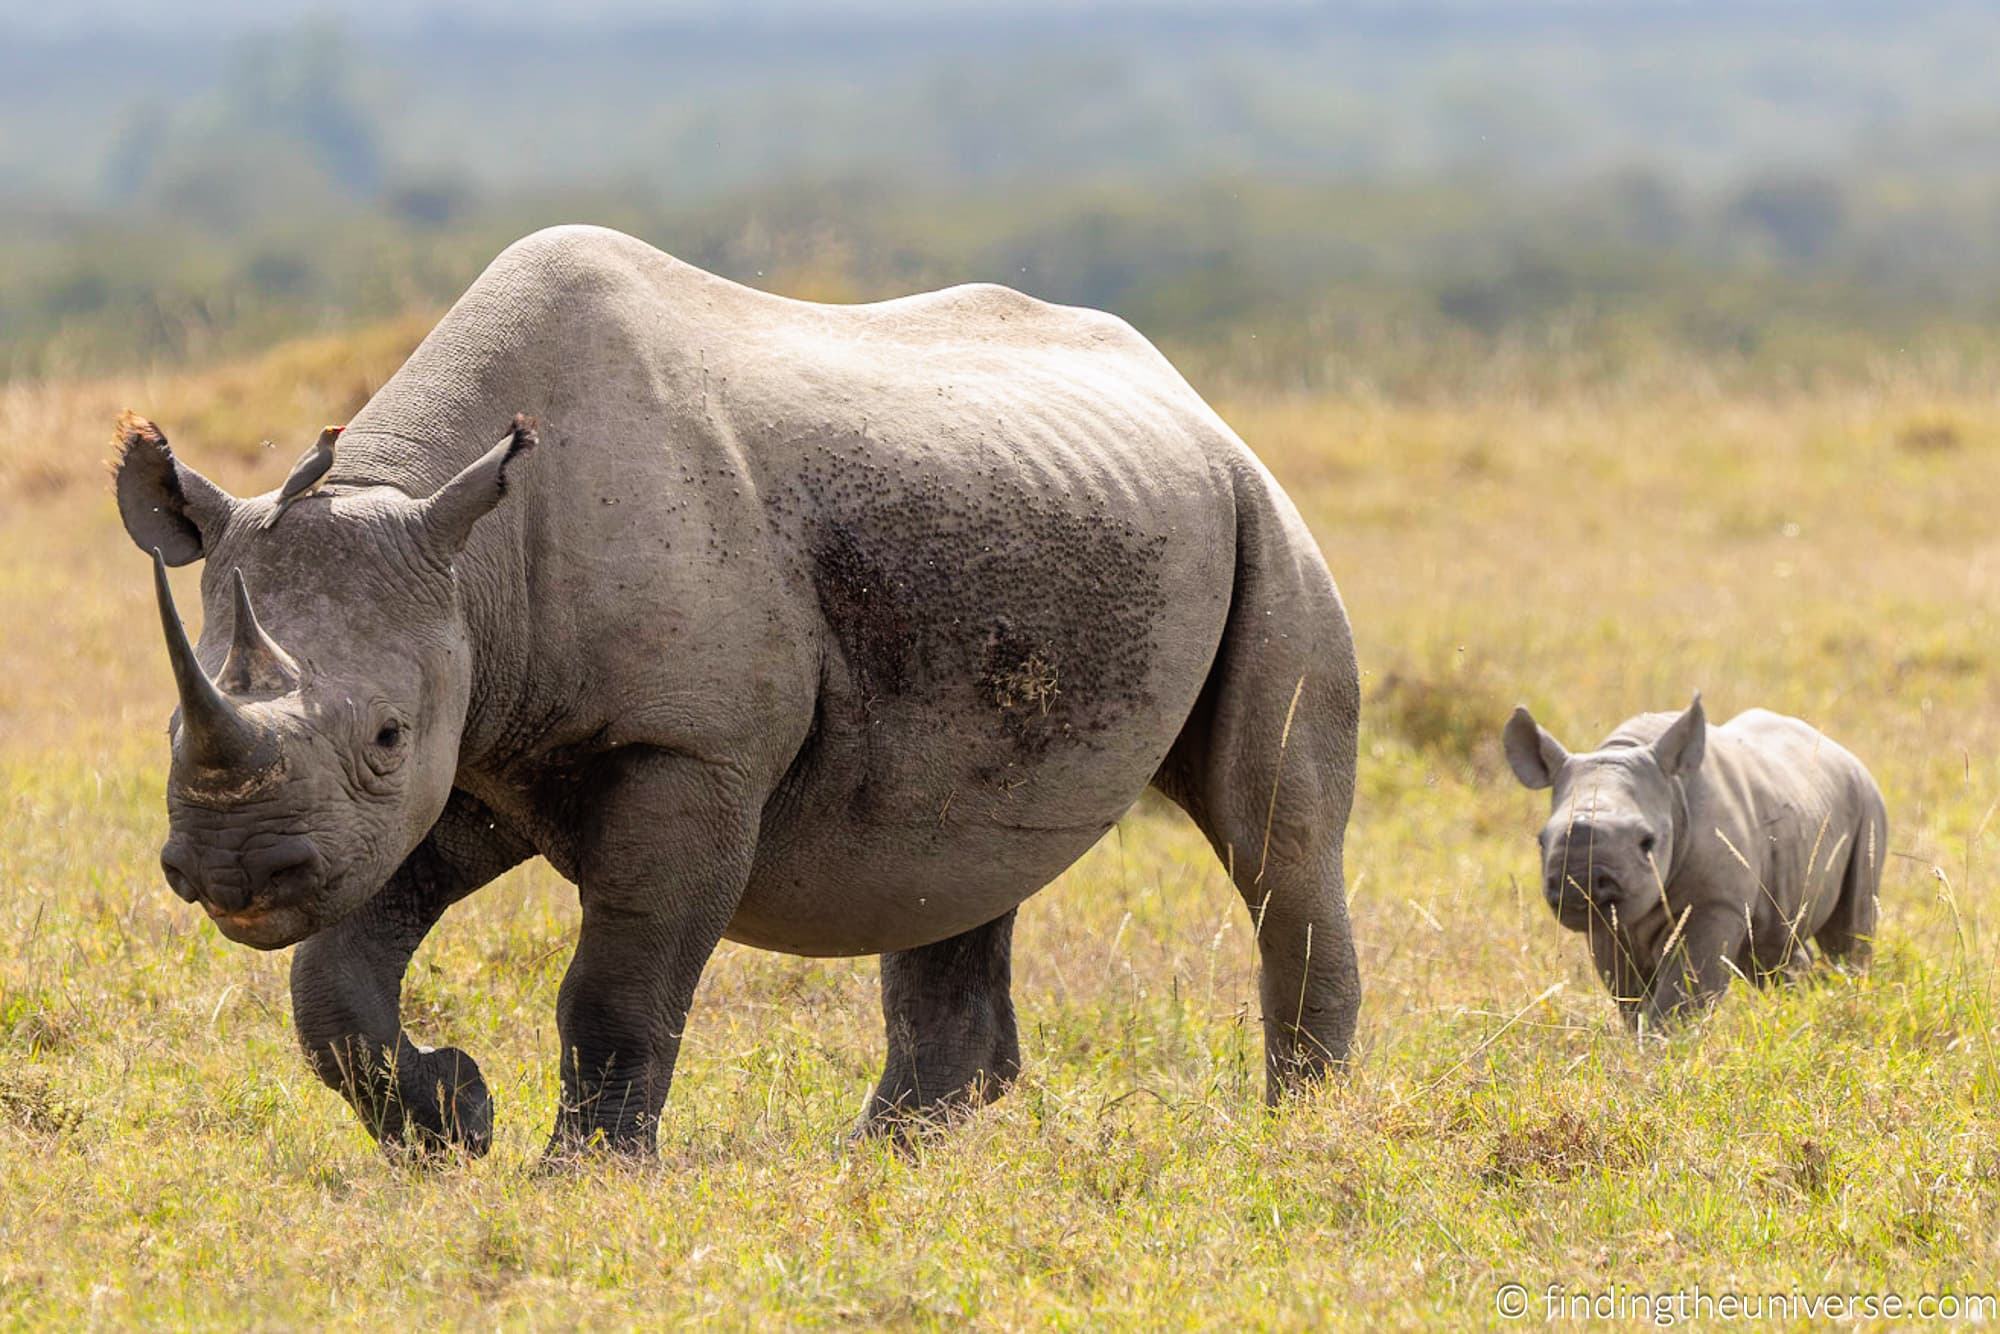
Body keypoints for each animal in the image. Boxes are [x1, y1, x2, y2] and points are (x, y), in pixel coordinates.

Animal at [1504, 696, 1880, 1032]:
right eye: (1541, 841)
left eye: (1647, 842)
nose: (1578, 883)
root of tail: (1842, 751)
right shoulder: (1608, 925)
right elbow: (1629, 994)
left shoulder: (1715, 903)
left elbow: (1683, 992)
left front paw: (1662, 1047)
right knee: (1771, 949)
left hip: (1868, 801)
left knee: (1849, 930)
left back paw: (1849, 996)